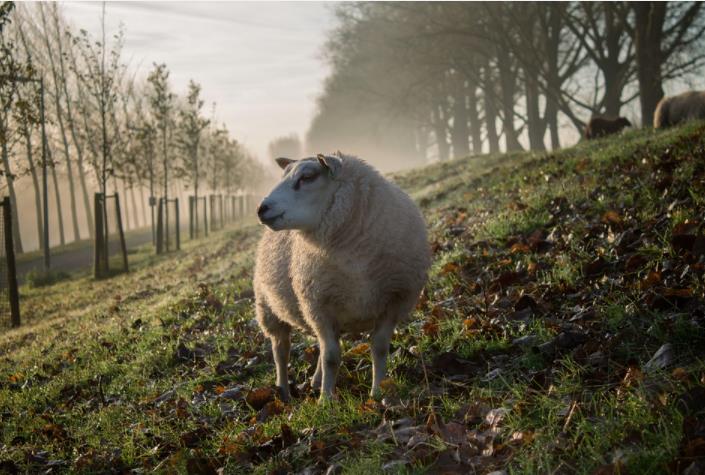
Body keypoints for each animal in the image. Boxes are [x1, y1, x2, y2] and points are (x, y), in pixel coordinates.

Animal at [253, 152, 428, 402]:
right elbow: (331, 357)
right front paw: (326, 400)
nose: (261, 208)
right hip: (269, 308)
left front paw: (378, 392)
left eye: (307, 177)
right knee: (281, 351)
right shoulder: (319, 306)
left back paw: (315, 381)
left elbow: (379, 348)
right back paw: (284, 391)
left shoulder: (393, 301)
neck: (355, 259)